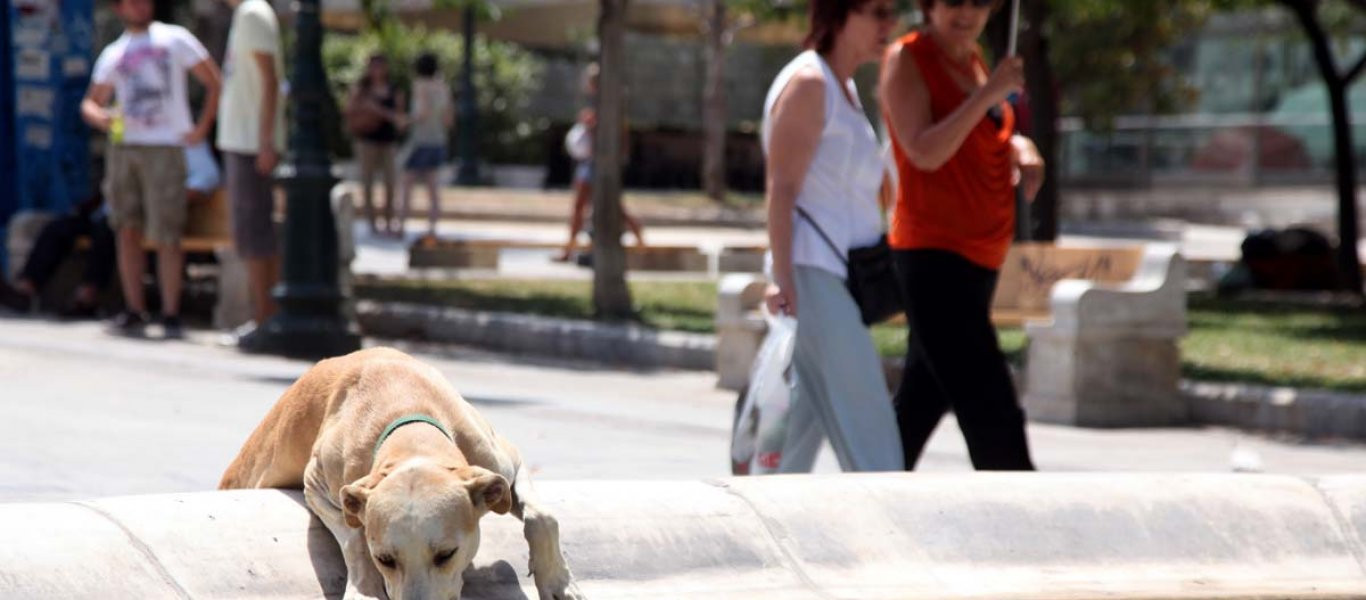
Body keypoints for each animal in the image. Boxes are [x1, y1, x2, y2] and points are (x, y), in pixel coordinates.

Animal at [221, 347, 584, 600]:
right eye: (384, 559)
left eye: (446, 554)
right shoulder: (319, 482)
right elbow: (354, 536)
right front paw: (365, 589)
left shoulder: (503, 462)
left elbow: (543, 517)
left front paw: (558, 582)